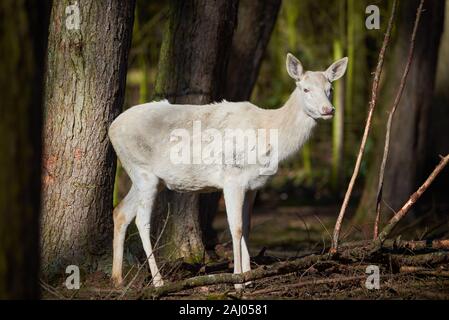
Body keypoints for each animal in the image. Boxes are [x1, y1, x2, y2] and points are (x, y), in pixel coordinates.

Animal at [107, 53, 346, 290]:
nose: (328, 110)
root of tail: (111, 128)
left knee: (120, 212)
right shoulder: (232, 178)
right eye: (305, 89)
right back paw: (158, 282)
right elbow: (236, 228)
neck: (268, 134)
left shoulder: (254, 185)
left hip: (148, 178)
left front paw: (249, 277)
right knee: (141, 221)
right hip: (142, 170)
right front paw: (237, 281)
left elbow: (248, 227)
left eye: (330, 88)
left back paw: (117, 279)